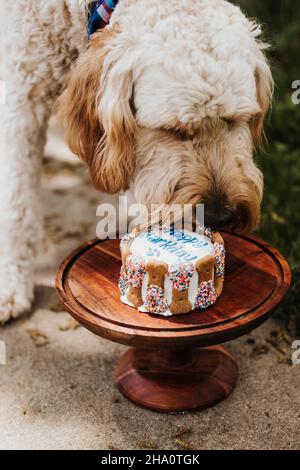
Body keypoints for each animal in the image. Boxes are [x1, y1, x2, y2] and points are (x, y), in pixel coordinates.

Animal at [0, 0, 272, 324]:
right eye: (172, 129)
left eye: (234, 120)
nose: (220, 216)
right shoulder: (21, 96)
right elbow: (16, 206)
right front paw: (11, 283)